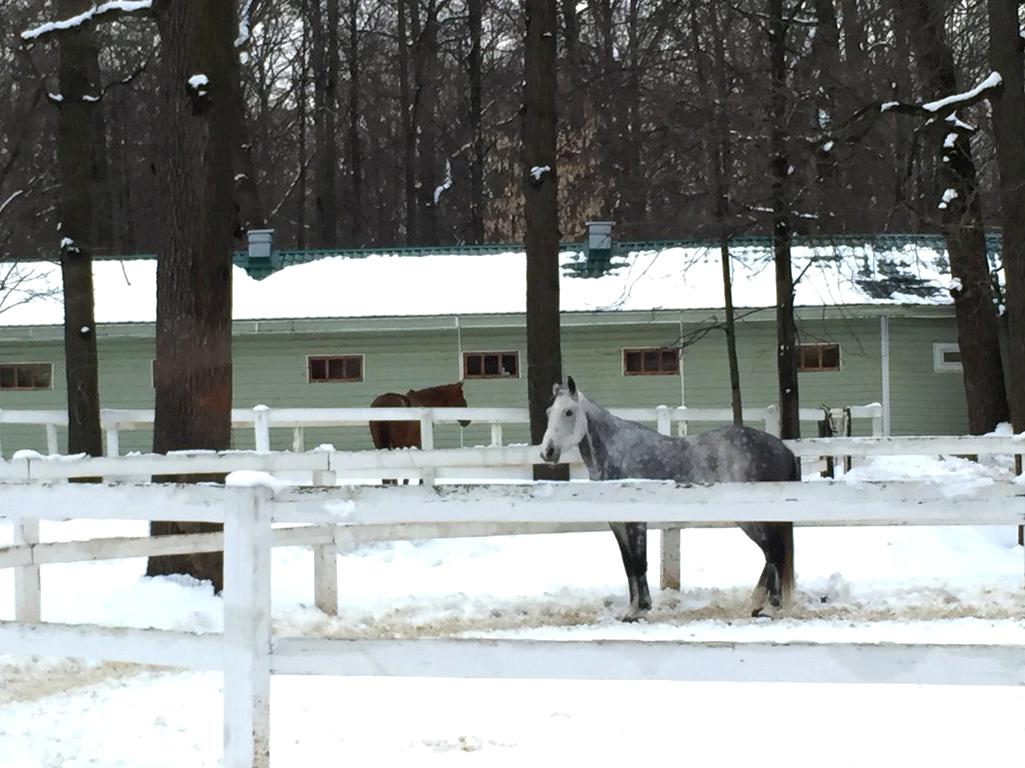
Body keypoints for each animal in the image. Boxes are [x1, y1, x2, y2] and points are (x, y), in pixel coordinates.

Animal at [541, 377, 795, 623]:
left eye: (569, 412)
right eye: (548, 411)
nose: (547, 452)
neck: (618, 453)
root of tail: (783, 449)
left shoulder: (636, 523)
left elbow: (639, 562)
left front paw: (640, 609)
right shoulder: (618, 523)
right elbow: (628, 564)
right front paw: (632, 609)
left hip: (751, 520)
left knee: (774, 552)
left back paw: (771, 607)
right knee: (771, 555)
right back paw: (755, 605)